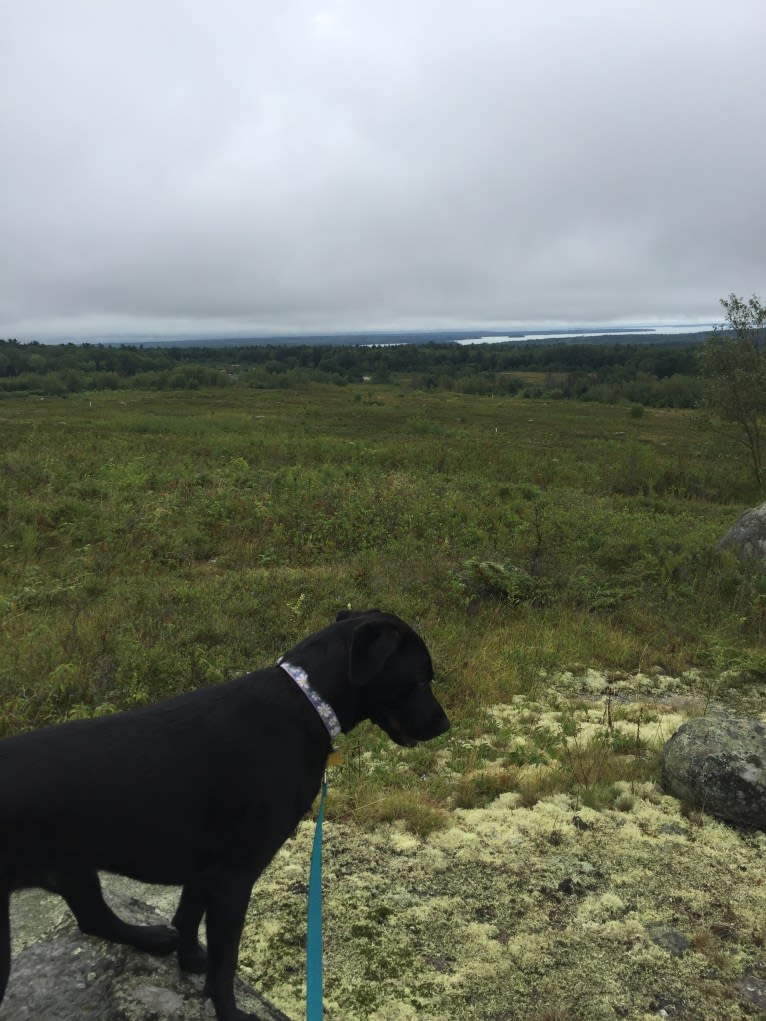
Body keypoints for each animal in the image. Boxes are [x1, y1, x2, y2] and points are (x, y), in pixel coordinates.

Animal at [0, 608, 449, 1016]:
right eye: (419, 679)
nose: (445, 725)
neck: (306, 704)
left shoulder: (205, 869)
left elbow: (187, 918)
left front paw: (188, 960)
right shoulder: (233, 876)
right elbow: (225, 961)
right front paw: (229, 1010)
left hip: (73, 868)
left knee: (94, 917)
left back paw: (151, 939)